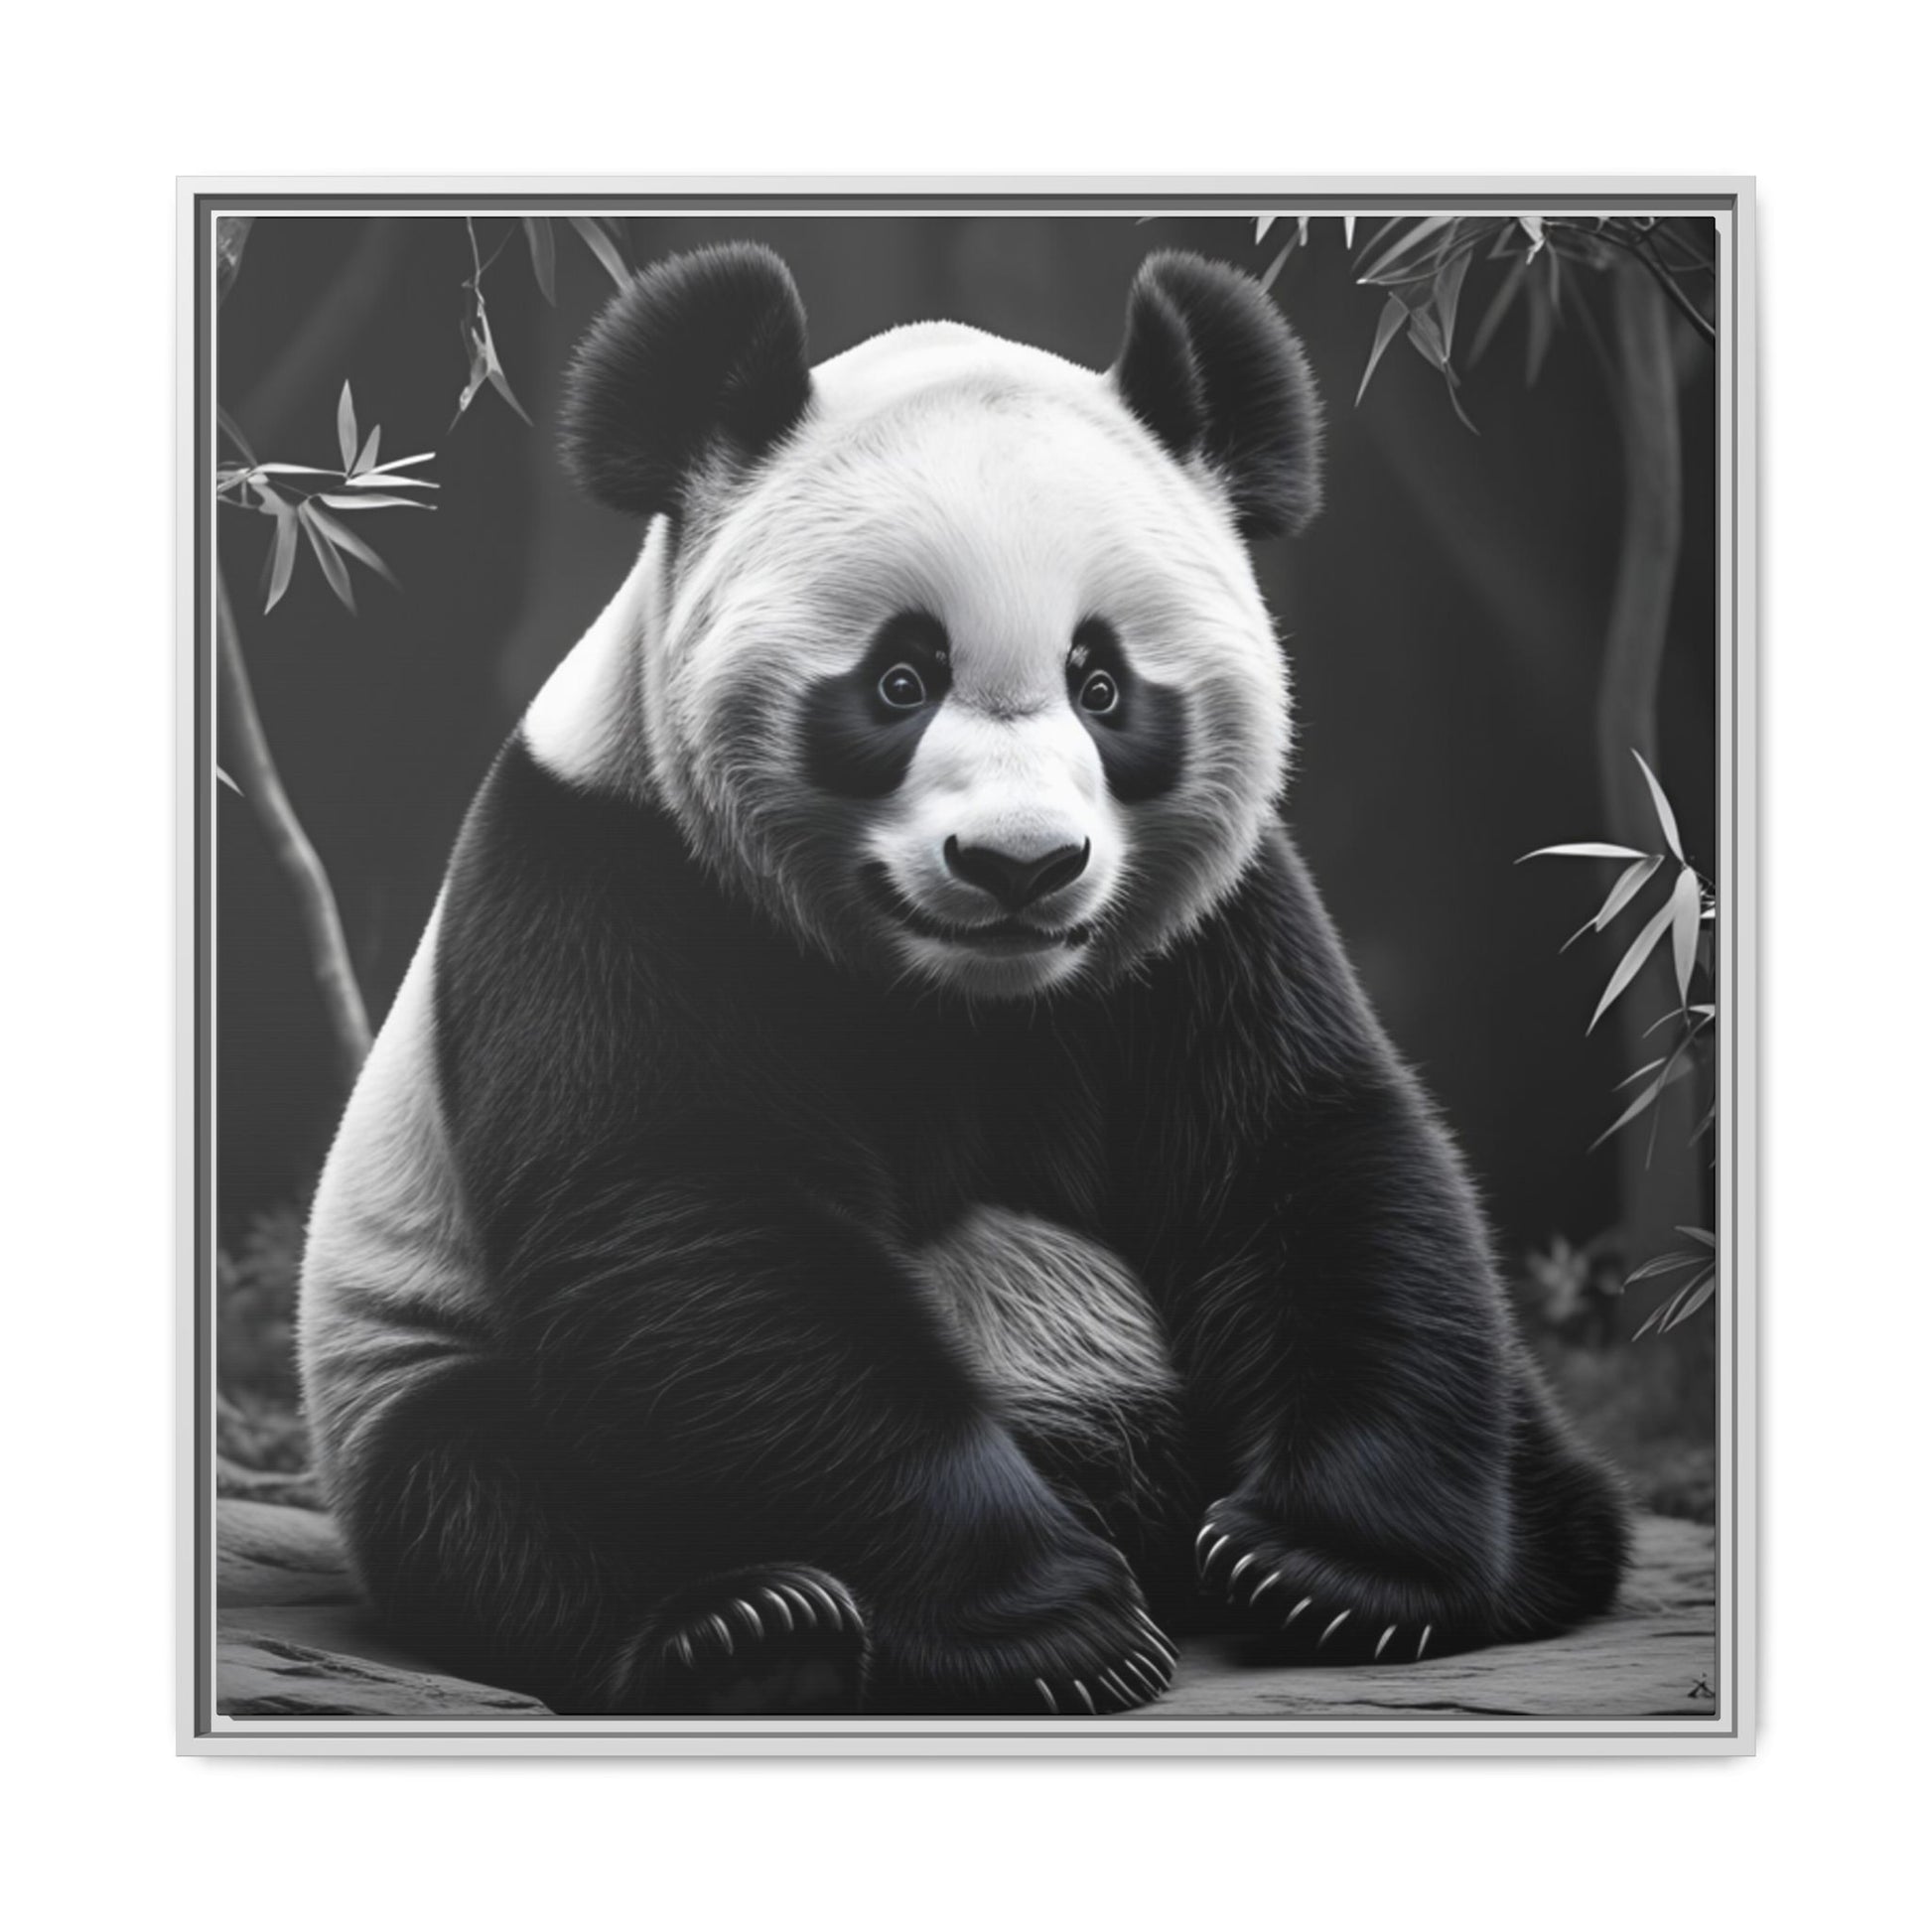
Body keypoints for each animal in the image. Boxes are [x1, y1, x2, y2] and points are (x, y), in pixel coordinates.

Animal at [298, 243, 1630, 1717]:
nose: (1020, 864)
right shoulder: (612, 880)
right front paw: (1051, 1624)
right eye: (898, 678)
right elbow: (691, 1227)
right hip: (405, 1358)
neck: (959, 998)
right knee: (493, 1497)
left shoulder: (1205, 928)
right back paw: (750, 1630)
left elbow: (1306, 1155)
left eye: (1103, 683)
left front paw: (1326, 1570)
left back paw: (1528, 1544)